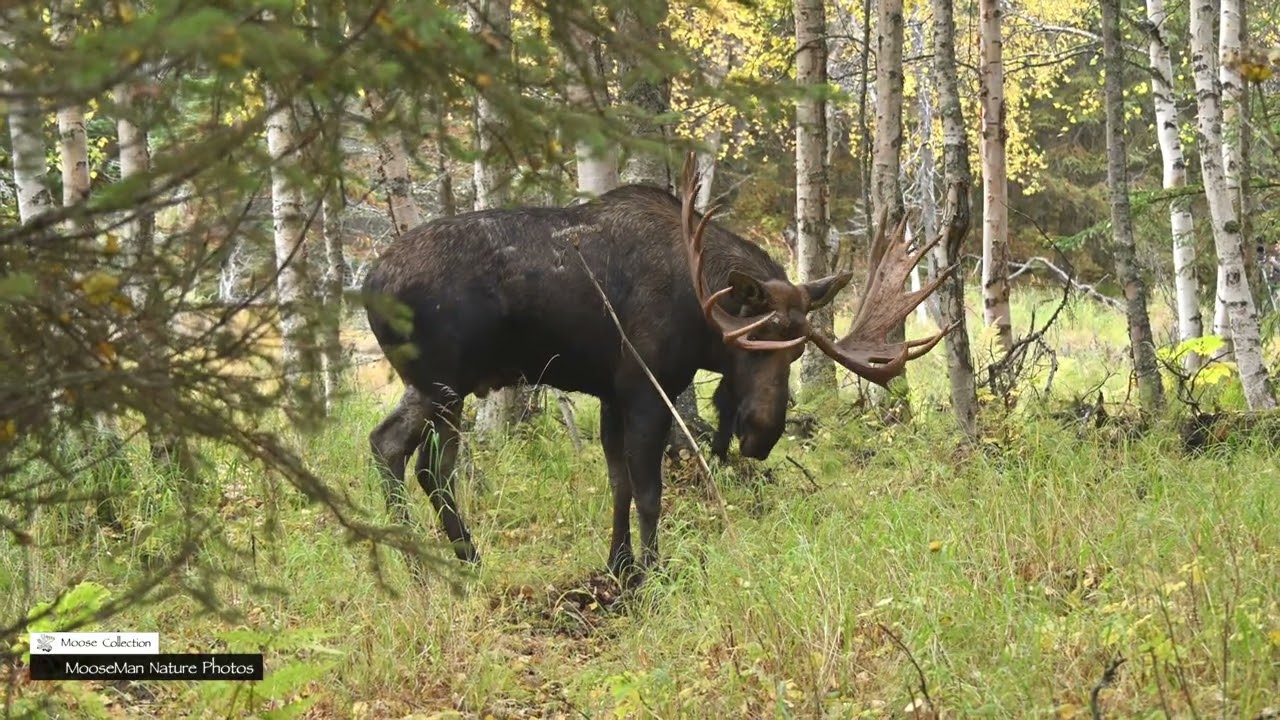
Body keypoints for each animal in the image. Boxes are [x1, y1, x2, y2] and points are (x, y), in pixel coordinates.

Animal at [361, 153, 954, 582]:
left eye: (796, 350)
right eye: (750, 343)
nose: (762, 435)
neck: (698, 312)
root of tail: (367, 283)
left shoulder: (610, 393)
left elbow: (618, 482)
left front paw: (619, 565)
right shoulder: (646, 386)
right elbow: (649, 489)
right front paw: (652, 571)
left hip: (435, 385)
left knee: (397, 450)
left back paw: (430, 561)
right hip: (445, 383)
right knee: (420, 461)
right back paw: (449, 560)